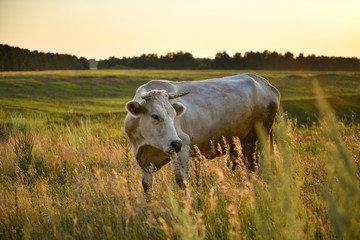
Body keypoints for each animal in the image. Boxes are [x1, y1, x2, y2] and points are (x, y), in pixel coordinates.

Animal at [125, 74, 280, 196]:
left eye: (174, 116)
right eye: (155, 116)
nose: (176, 143)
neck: (148, 144)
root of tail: (264, 82)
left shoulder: (183, 149)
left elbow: (182, 182)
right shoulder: (143, 159)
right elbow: (147, 186)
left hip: (258, 139)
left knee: (256, 168)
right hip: (242, 143)